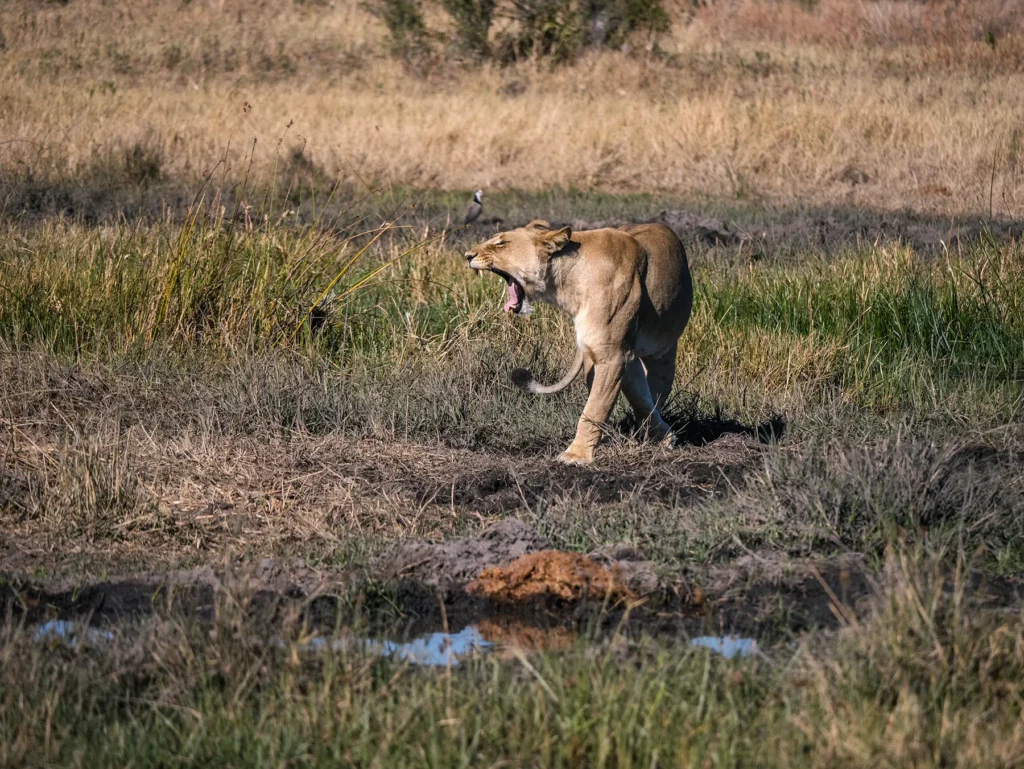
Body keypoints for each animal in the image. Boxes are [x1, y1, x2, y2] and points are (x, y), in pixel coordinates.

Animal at [465, 220, 692, 464]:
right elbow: (607, 401)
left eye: (502, 243)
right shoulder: (598, 352)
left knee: (656, 387)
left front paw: (577, 454)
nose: (468, 255)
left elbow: (595, 407)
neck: (567, 285)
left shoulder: (612, 355)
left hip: (663, 351)